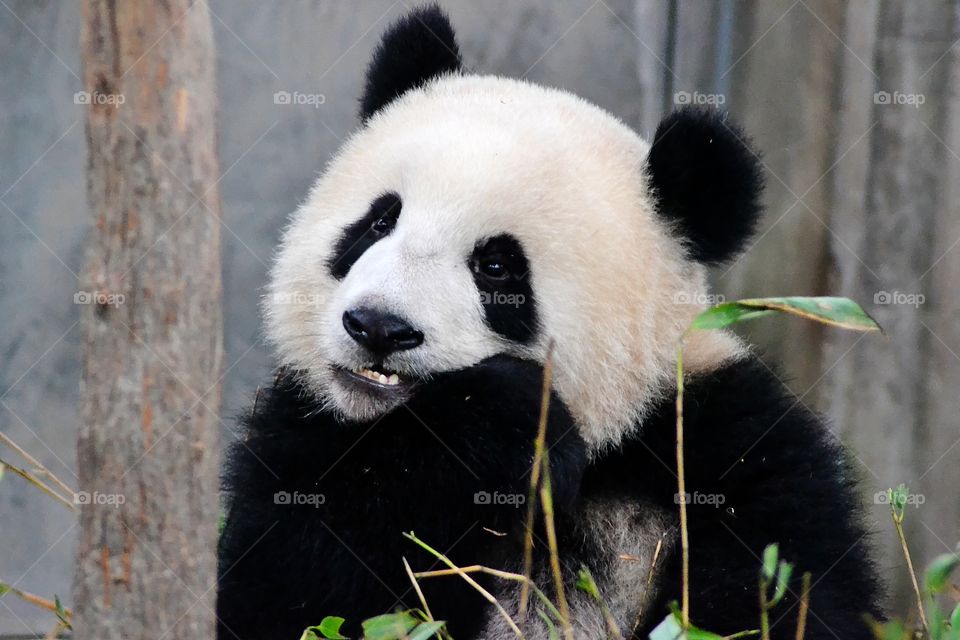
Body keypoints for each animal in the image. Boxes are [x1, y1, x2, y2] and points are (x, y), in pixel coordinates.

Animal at [216, 6, 882, 640]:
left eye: (496, 267)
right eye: (380, 221)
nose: (379, 326)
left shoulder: (735, 446)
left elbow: (793, 599)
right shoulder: (302, 437)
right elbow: (286, 593)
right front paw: (499, 426)